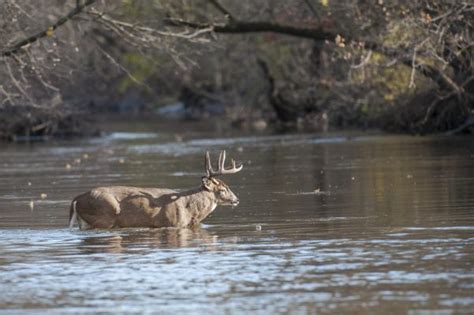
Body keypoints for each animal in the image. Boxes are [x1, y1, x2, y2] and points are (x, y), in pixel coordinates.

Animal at [68, 151, 243, 230]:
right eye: (223, 189)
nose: (236, 199)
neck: (191, 211)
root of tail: (77, 199)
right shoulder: (171, 223)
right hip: (104, 216)